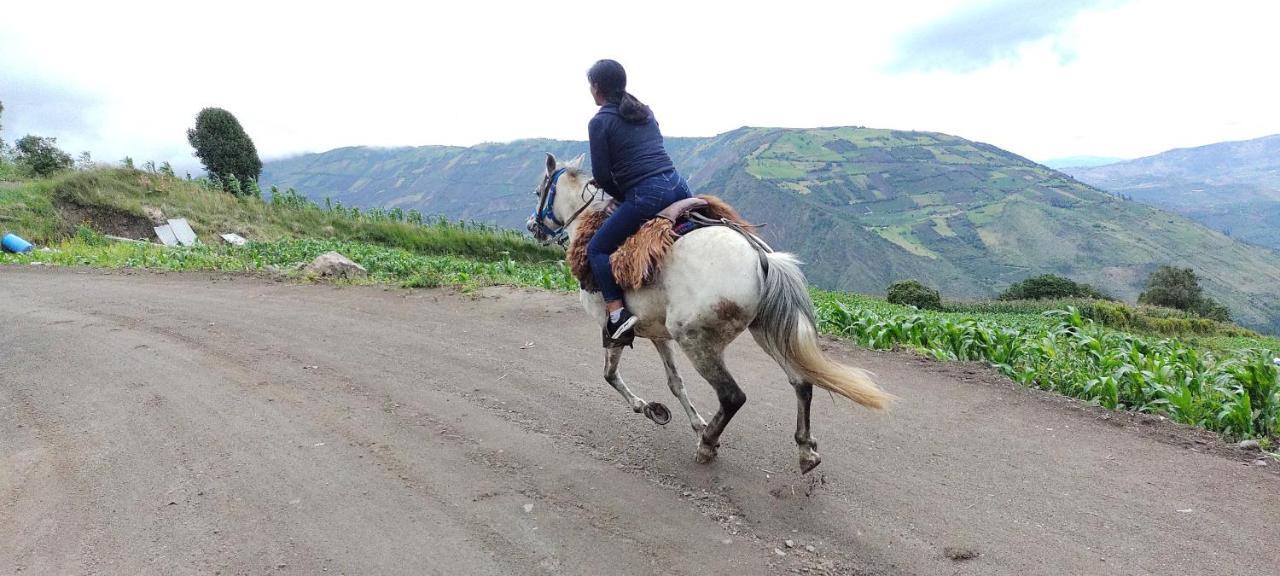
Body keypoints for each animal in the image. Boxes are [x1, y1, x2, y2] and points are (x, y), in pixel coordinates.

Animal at [529, 152, 890, 473]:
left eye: (538, 191)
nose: (533, 226)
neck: (586, 225)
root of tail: (762, 257)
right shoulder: (657, 332)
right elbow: (675, 382)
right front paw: (690, 420)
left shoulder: (612, 328)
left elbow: (610, 374)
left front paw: (646, 407)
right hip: (763, 332)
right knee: (801, 382)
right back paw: (805, 451)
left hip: (695, 340)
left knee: (732, 397)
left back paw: (708, 445)